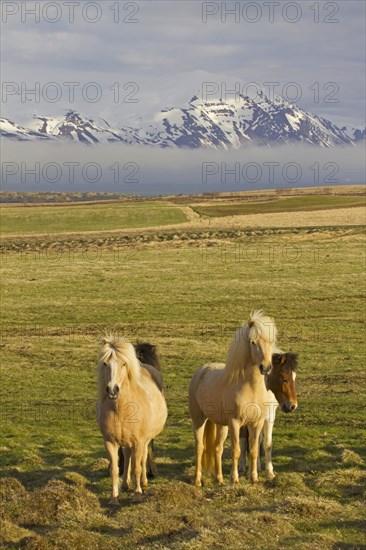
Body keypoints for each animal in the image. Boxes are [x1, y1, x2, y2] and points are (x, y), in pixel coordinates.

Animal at [96, 336, 167, 504]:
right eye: (105, 363)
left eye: (123, 363)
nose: (112, 390)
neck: (120, 409)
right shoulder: (110, 442)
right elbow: (115, 469)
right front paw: (114, 498)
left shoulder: (139, 441)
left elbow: (137, 467)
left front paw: (137, 494)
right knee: (128, 456)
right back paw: (126, 484)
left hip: (145, 440)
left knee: (143, 457)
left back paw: (144, 484)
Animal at [189, 310, 278, 488]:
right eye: (253, 342)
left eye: (271, 341)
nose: (266, 368)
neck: (250, 388)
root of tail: (200, 371)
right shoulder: (235, 423)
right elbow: (237, 450)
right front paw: (235, 479)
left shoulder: (256, 423)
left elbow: (253, 450)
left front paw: (254, 478)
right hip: (199, 419)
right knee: (199, 448)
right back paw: (197, 481)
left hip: (220, 425)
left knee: (217, 448)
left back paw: (219, 479)